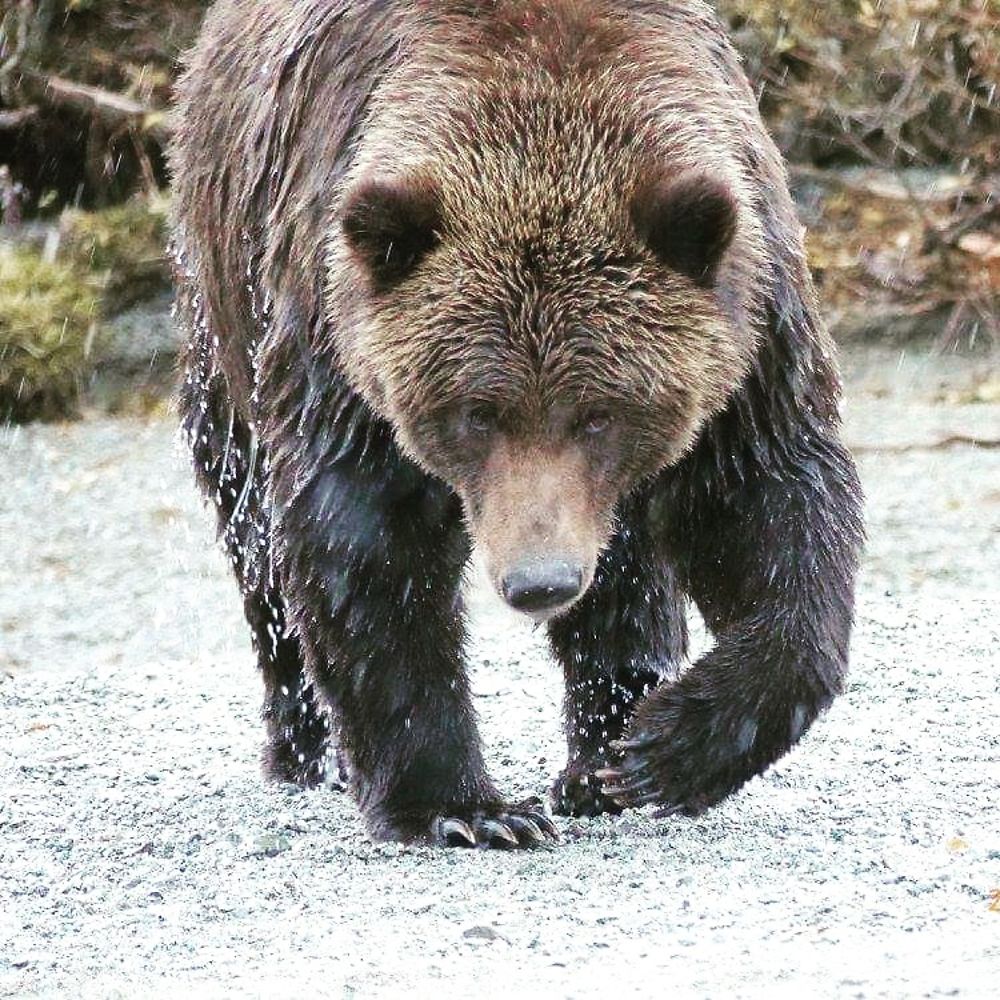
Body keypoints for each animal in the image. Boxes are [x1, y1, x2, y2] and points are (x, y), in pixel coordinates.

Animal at [168, 0, 864, 852]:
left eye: (600, 412)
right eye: (477, 411)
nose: (540, 580)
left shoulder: (751, 320)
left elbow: (767, 499)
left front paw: (665, 747)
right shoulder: (338, 333)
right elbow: (364, 543)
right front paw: (465, 808)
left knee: (628, 570)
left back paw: (601, 754)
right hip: (223, 302)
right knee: (252, 529)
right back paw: (309, 748)